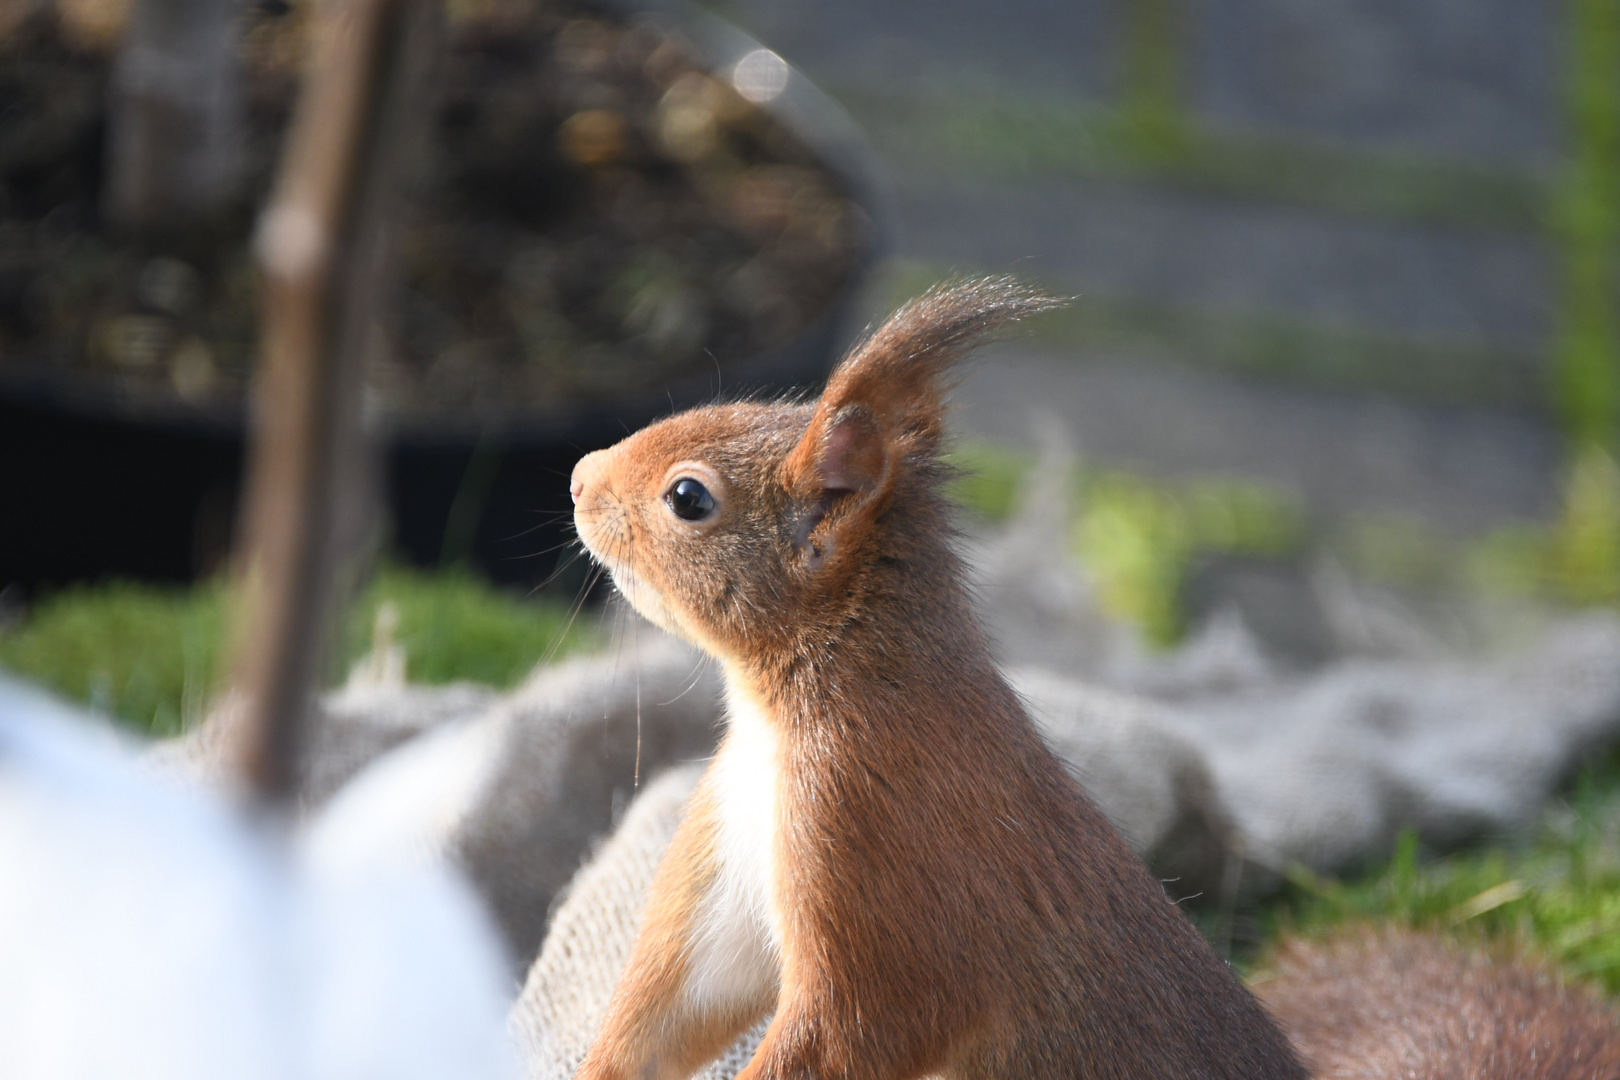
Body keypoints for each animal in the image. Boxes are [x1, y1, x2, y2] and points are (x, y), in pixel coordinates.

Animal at [563, 281, 1613, 1080]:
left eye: (688, 497)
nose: (577, 477)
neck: (792, 711)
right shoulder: (734, 867)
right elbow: (676, 1008)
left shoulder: (885, 864)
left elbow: (859, 1025)